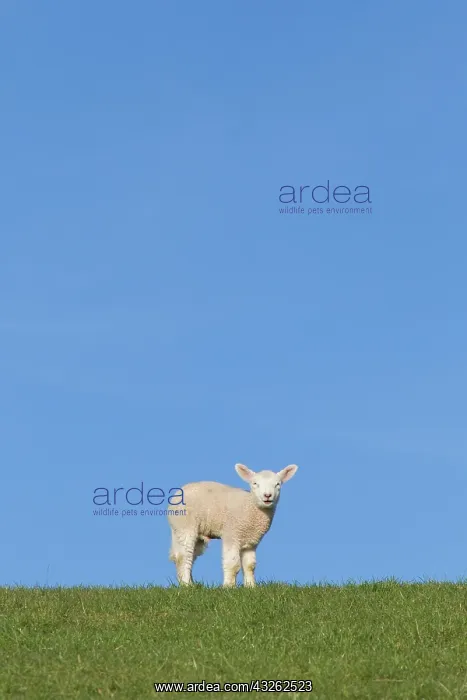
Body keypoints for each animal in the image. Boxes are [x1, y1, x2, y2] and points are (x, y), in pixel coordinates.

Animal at [167, 463, 298, 587]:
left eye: (278, 484)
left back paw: (190, 583)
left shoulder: (251, 541)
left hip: (192, 532)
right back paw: (186, 584)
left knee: (188, 556)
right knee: (184, 556)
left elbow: (250, 565)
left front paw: (251, 586)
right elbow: (232, 564)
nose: (267, 495)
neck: (250, 507)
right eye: (255, 483)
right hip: (186, 526)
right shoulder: (232, 533)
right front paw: (229, 586)